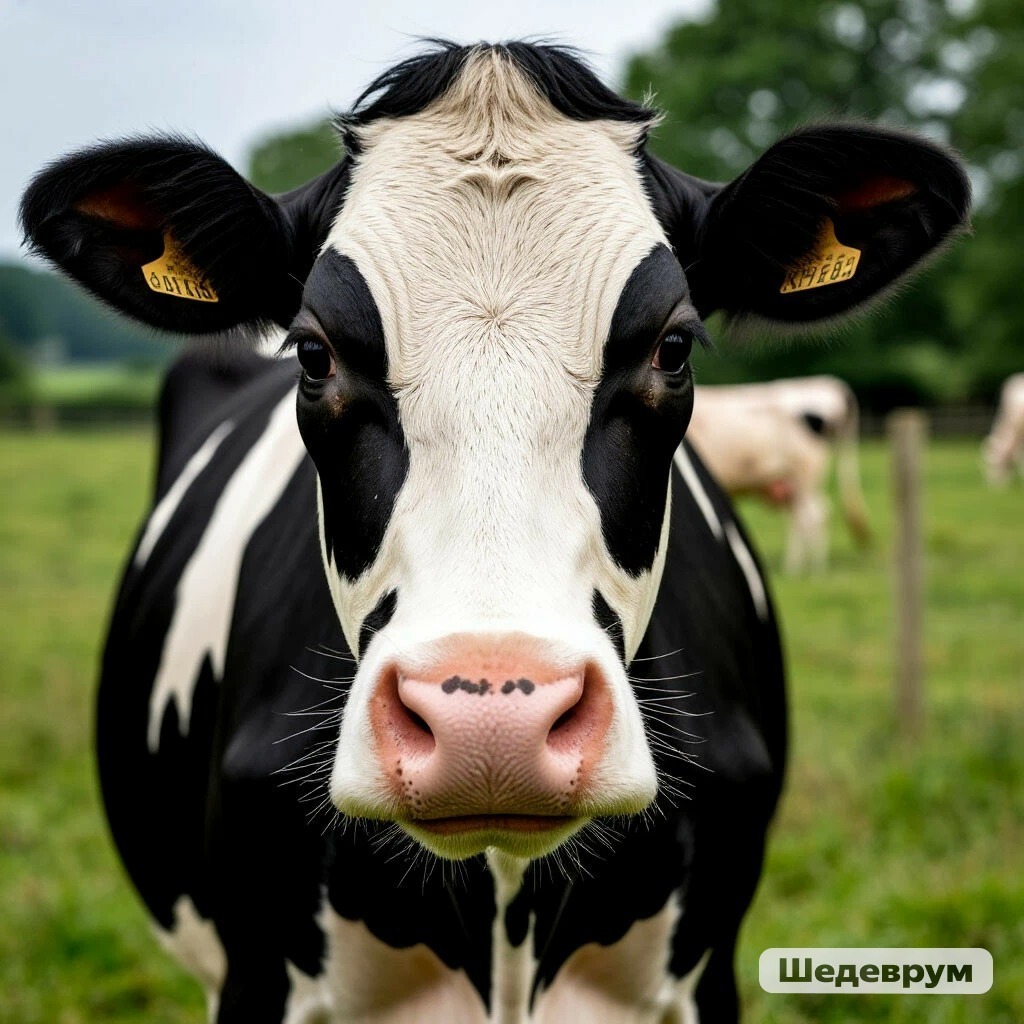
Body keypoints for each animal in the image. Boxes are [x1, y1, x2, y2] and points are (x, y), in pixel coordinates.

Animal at [688, 376, 870, 573]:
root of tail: (828, 383)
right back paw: (794, 565)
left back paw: (812, 568)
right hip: (794, 482)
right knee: (802, 516)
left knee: (813, 514)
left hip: (806, 471)